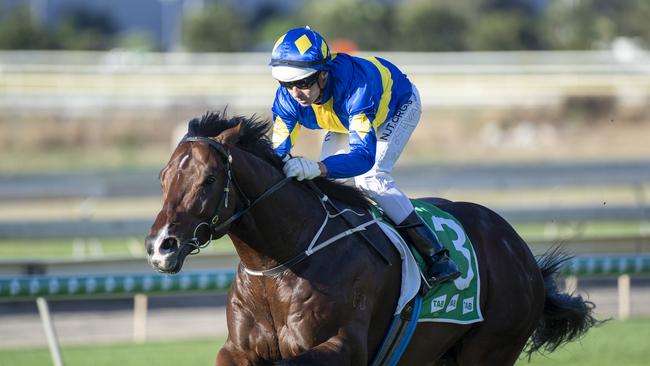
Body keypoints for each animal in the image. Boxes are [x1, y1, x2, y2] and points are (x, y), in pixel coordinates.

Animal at [144, 112, 596, 366]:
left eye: (208, 179)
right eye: (163, 178)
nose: (160, 246)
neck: (282, 264)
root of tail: (517, 249)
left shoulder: (344, 347)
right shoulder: (236, 349)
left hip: (492, 349)